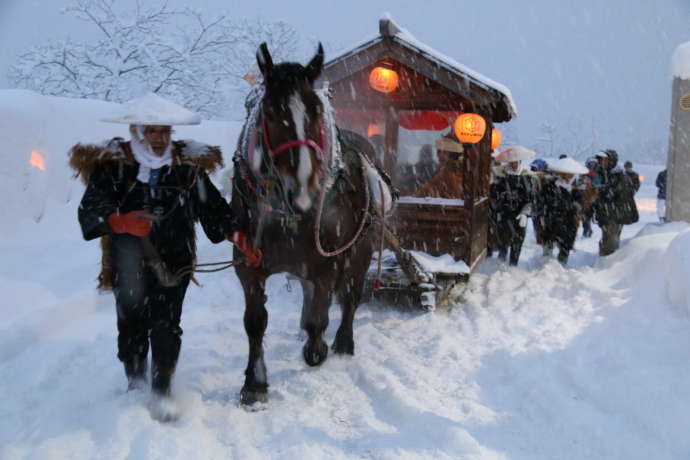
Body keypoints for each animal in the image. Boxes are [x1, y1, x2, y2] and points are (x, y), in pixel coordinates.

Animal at [231, 42, 392, 402]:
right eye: (269, 111)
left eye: (317, 111)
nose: (303, 191)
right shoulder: (249, 265)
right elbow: (254, 321)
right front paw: (255, 383)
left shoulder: (327, 264)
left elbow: (320, 320)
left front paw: (316, 350)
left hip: (361, 251)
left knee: (350, 296)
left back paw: (344, 341)